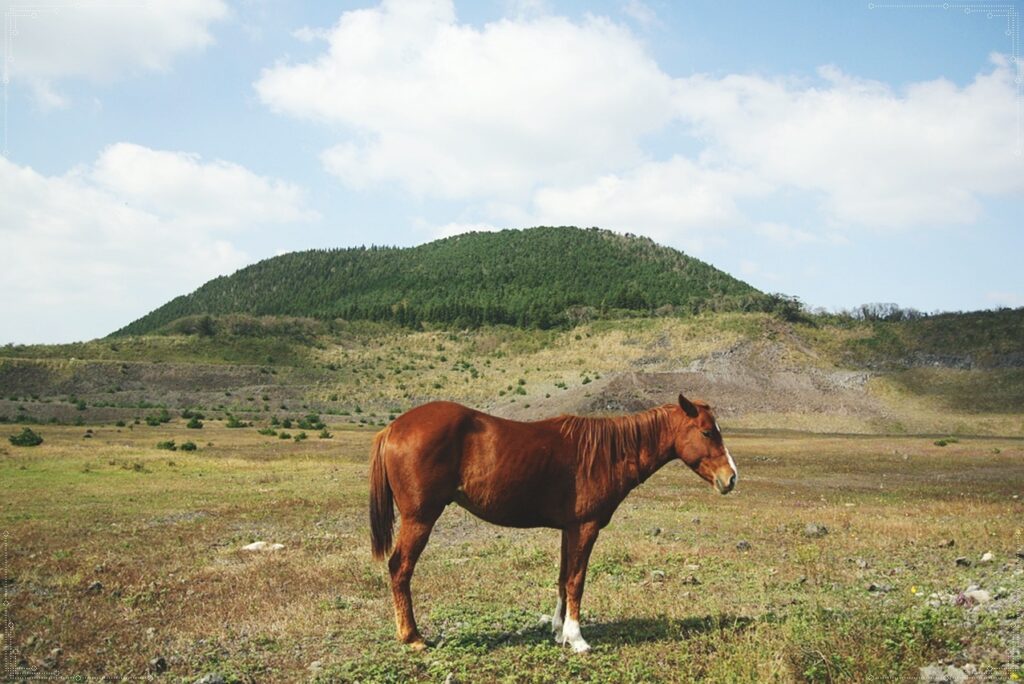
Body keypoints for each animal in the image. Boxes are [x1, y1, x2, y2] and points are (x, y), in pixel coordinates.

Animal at [368, 393, 737, 651]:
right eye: (707, 432)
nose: (731, 478)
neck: (605, 454)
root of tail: (393, 427)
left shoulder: (568, 530)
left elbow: (562, 578)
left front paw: (560, 632)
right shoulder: (585, 528)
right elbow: (576, 581)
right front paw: (577, 639)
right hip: (420, 519)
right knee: (400, 568)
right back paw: (413, 637)